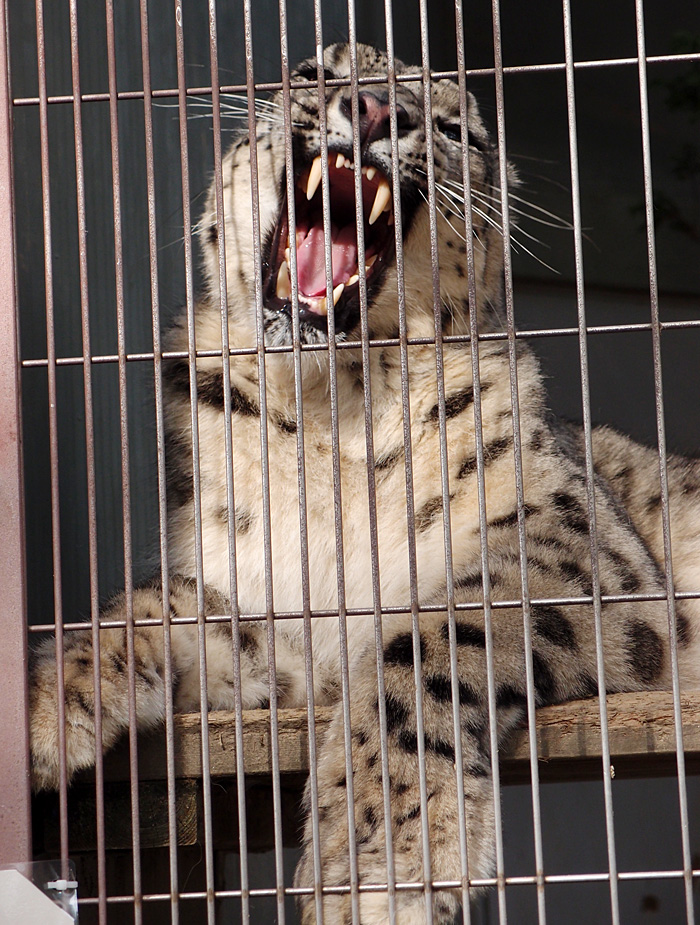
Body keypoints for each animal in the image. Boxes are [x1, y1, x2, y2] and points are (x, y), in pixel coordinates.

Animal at [28, 39, 700, 920]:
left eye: (453, 128)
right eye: (317, 73)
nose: (380, 111)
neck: (330, 410)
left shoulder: (579, 546)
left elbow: (436, 635)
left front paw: (384, 859)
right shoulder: (279, 618)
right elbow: (156, 604)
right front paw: (44, 704)